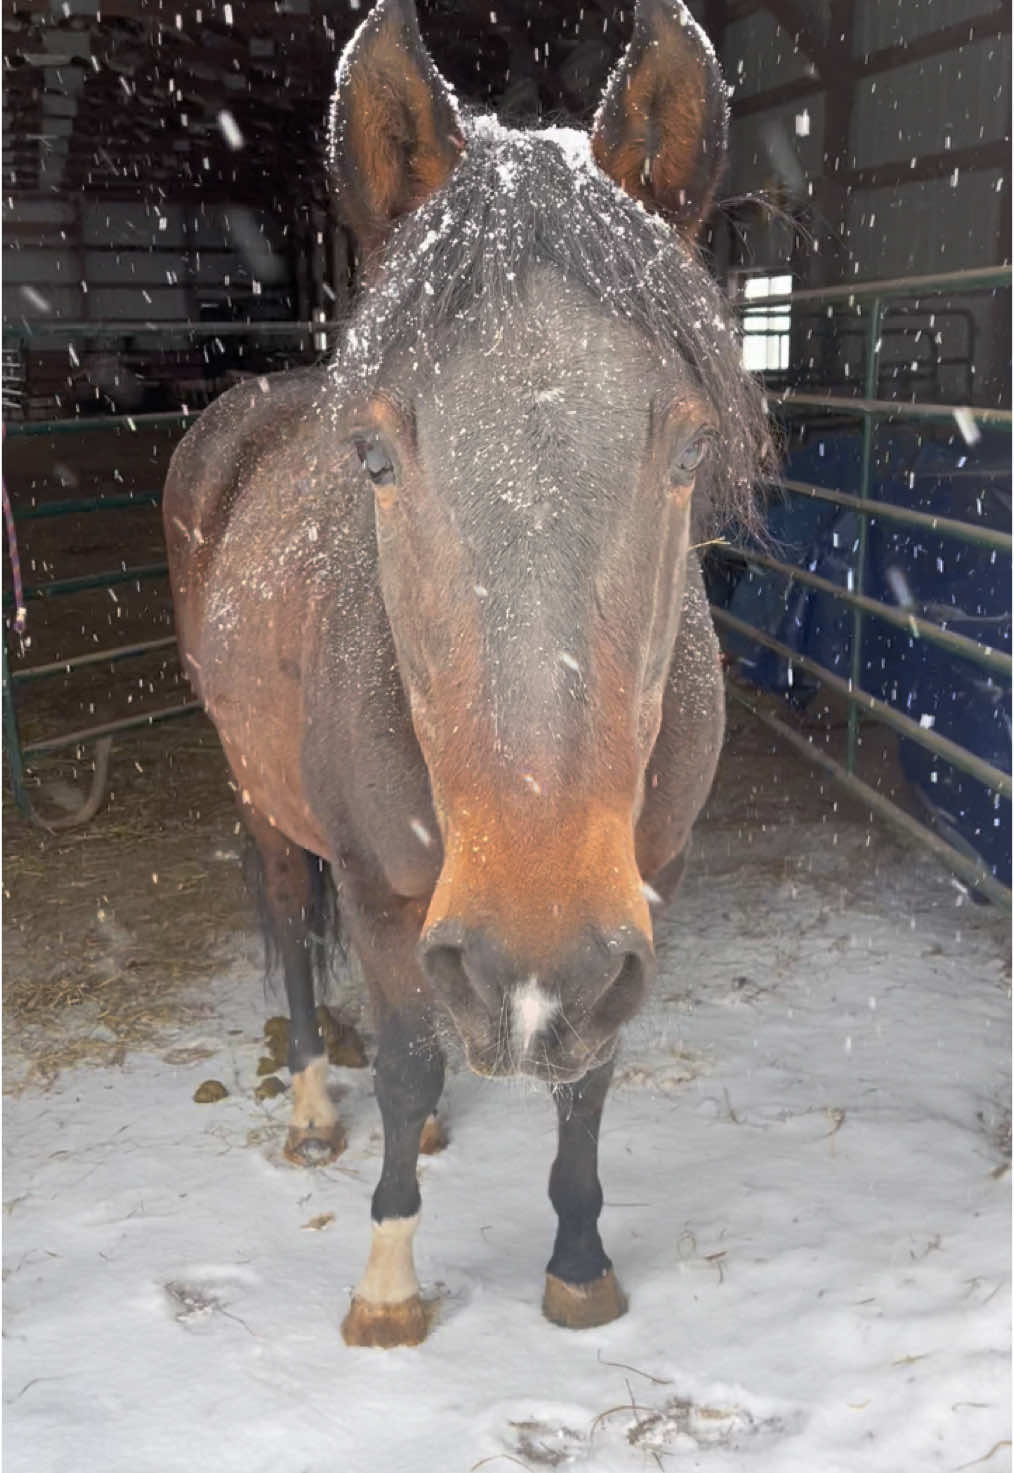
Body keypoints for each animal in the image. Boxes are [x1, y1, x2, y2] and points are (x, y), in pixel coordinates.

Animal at [164, 0, 766, 1349]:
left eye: (688, 450)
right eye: (376, 458)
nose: (531, 964)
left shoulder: (641, 896)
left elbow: (588, 1077)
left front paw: (581, 1263)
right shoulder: (383, 894)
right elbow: (399, 1056)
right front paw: (389, 1280)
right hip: (263, 799)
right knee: (294, 933)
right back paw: (313, 1112)